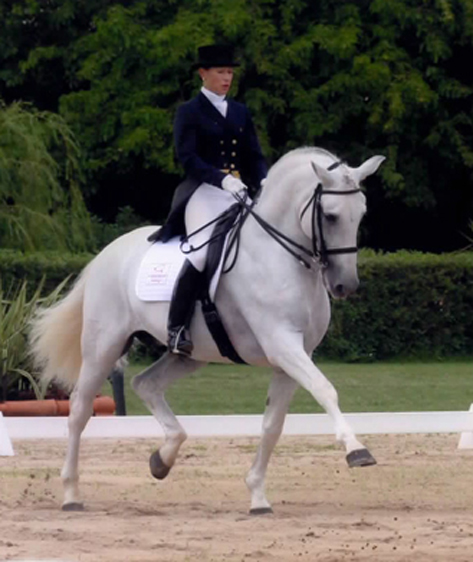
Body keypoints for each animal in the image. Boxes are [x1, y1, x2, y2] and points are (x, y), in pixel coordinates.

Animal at [29, 145, 384, 512]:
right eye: (330, 216)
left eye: (361, 214)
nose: (345, 285)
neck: (280, 256)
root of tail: (106, 254)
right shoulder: (282, 345)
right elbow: (325, 389)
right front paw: (357, 450)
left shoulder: (293, 357)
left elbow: (273, 424)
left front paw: (257, 495)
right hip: (104, 346)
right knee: (79, 410)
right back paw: (71, 494)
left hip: (190, 354)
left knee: (146, 384)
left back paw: (162, 458)